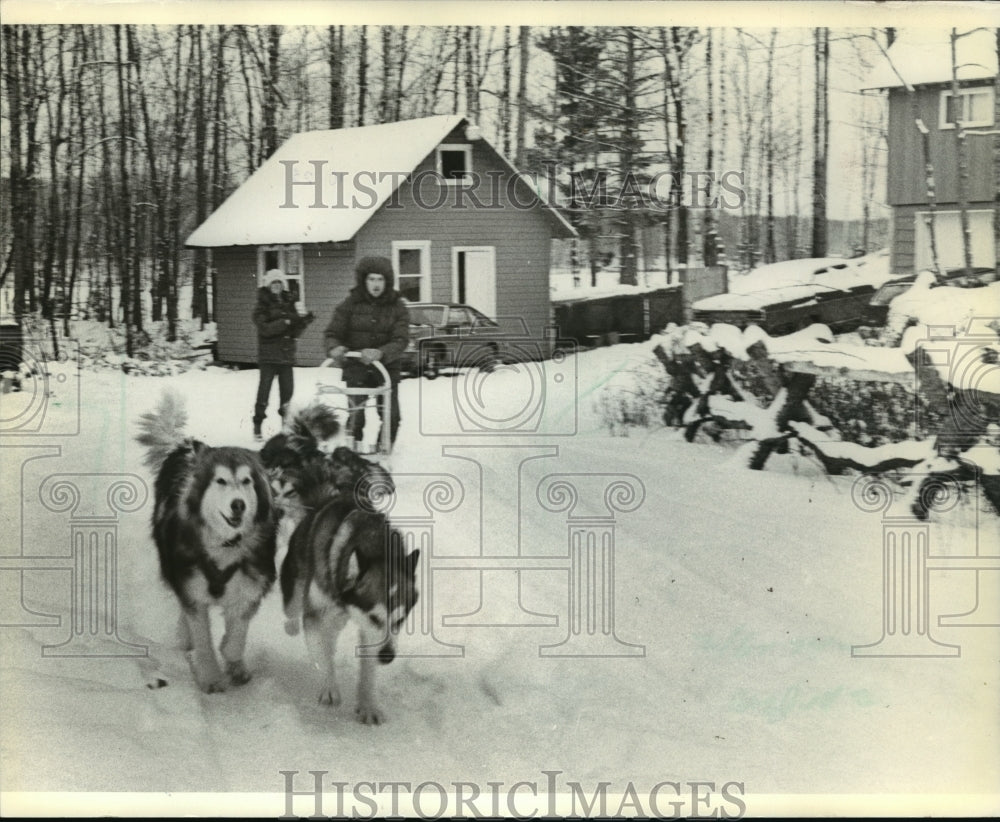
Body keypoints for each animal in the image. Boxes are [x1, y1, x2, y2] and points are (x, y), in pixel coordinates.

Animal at [137, 392, 278, 696]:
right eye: (220, 481)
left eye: (247, 481)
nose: (238, 505)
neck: (225, 544)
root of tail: (185, 447)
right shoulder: (191, 586)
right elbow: (202, 638)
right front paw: (211, 676)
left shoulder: (250, 585)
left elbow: (236, 636)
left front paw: (234, 662)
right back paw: (184, 637)